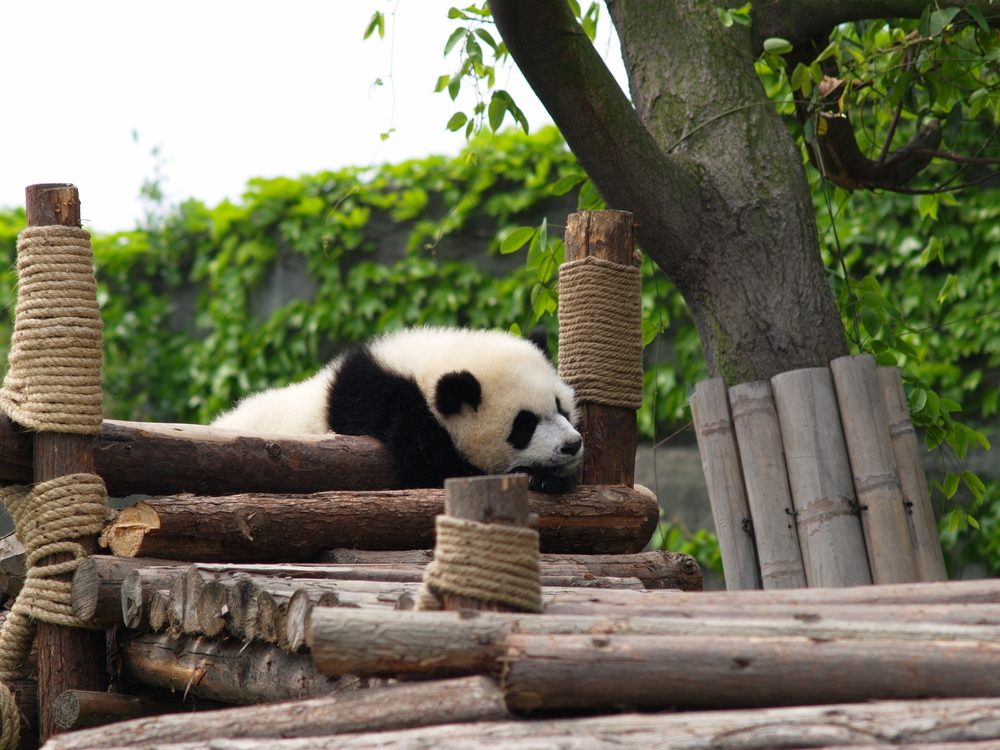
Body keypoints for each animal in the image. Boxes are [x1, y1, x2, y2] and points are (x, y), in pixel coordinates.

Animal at [211, 326, 583, 493]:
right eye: (524, 425)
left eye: (561, 408)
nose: (572, 445)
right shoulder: (387, 405)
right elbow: (435, 470)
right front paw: (536, 476)